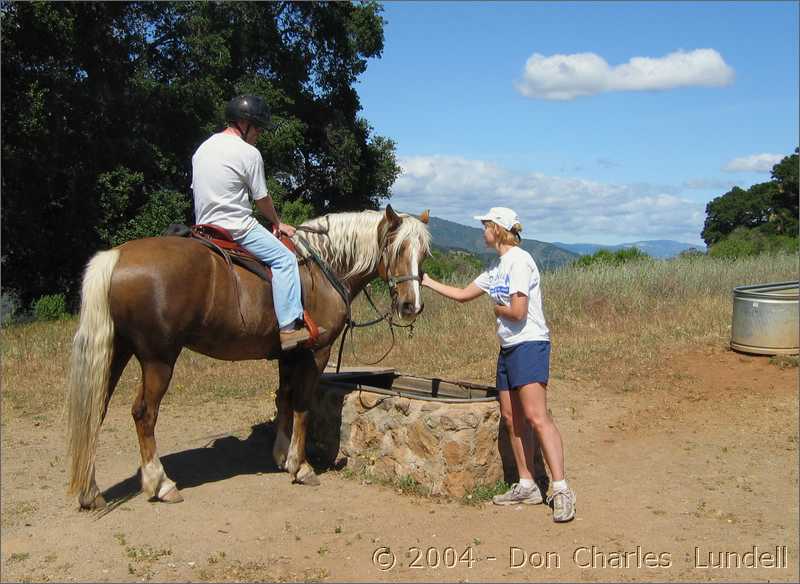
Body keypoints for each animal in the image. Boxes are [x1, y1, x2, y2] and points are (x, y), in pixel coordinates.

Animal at [67, 205, 432, 506]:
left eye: (424, 254)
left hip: (118, 351)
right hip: (159, 359)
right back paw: (160, 483)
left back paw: (90, 491)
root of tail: (117, 256)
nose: (411, 305)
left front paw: (282, 455)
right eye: (397, 248)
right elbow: (302, 405)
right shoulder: (315, 353)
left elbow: (284, 398)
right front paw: (300, 466)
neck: (321, 268)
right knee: (144, 413)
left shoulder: (289, 355)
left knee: (96, 409)